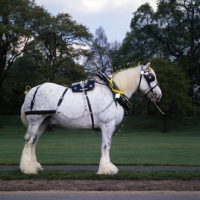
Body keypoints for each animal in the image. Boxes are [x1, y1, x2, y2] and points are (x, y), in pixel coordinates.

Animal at [19, 62, 162, 173]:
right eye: (151, 77)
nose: (159, 95)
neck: (113, 91)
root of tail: (31, 91)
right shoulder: (107, 124)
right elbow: (106, 145)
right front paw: (106, 169)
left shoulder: (109, 126)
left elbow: (107, 145)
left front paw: (106, 166)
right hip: (35, 120)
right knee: (28, 140)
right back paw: (27, 168)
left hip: (42, 122)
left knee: (34, 141)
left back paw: (34, 165)